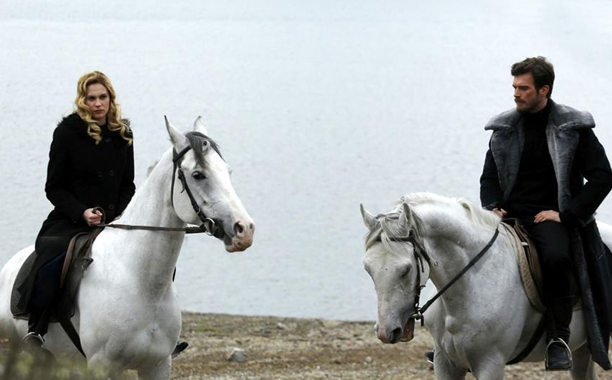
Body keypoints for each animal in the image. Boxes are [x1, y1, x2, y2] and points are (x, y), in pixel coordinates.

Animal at [0, 117, 253, 378]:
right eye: (198, 174)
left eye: (228, 171)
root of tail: (9, 266)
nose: (244, 229)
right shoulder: (102, 365)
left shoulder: (158, 365)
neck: (142, 284)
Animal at [358, 194, 612, 378]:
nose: (385, 332)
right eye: (368, 269)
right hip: (583, 348)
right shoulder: (445, 362)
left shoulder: (490, 363)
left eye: (406, 269)